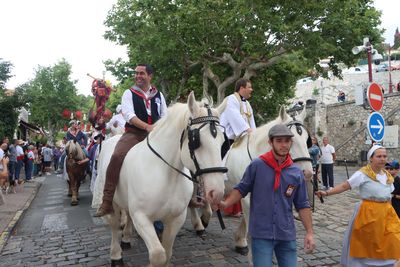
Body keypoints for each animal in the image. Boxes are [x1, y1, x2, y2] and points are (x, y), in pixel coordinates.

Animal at [92, 92, 227, 267]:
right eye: (196, 140)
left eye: (223, 142)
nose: (216, 192)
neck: (165, 175)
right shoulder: (141, 218)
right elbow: (158, 254)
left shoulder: (176, 218)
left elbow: (167, 253)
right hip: (113, 203)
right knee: (115, 226)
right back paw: (116, 255)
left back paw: (126, 238)